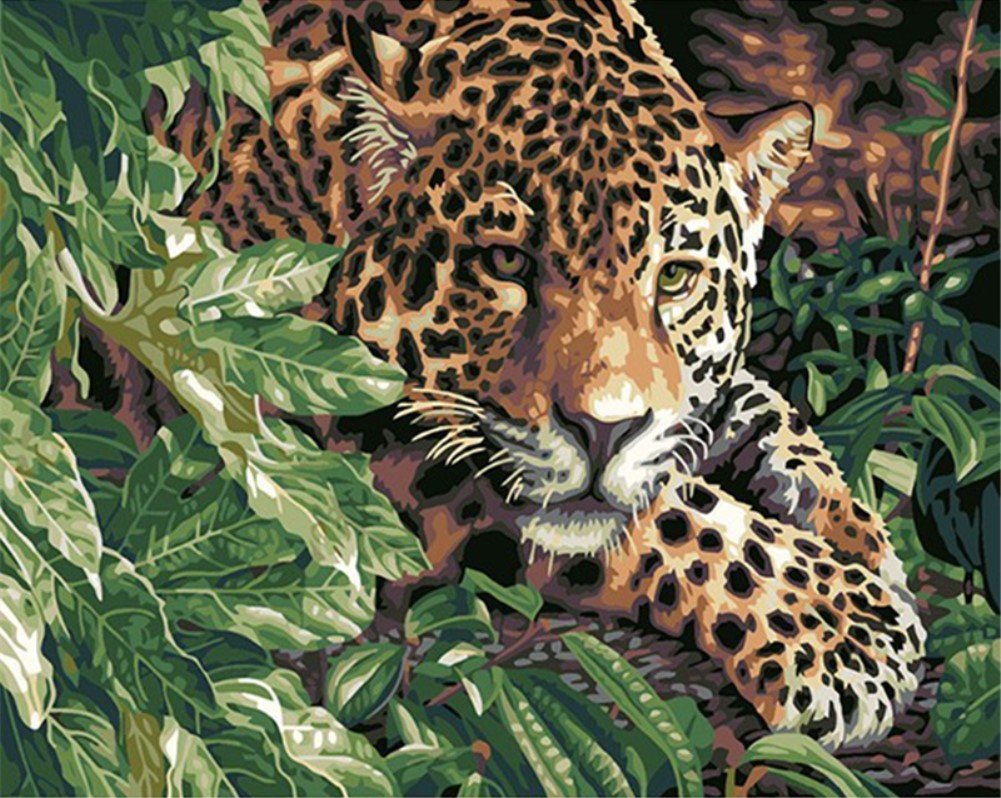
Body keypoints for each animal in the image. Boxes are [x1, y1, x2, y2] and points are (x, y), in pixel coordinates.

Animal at [158, 0, 926, 750]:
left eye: (675, 278)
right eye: (505, 262)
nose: (602, 432)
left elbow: (760, 414)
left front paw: (859, 536)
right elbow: (674, 514)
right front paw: (845, 628)